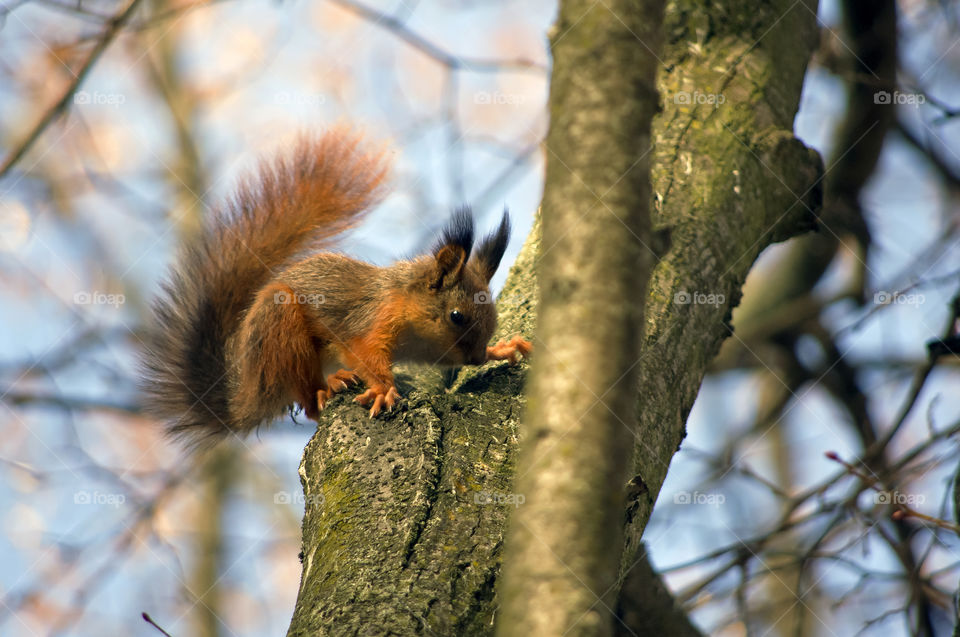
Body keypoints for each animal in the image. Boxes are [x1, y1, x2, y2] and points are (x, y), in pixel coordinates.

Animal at [140, 129, 532, 447]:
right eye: (456, 316)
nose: (476, 358)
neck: (409, 310)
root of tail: (248, 396)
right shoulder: (372, 321)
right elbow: (365, 352)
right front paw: (384, 388)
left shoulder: (429, 349)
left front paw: (502, 349)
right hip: (280, 328)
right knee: (306, 398)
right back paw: (327, 386)